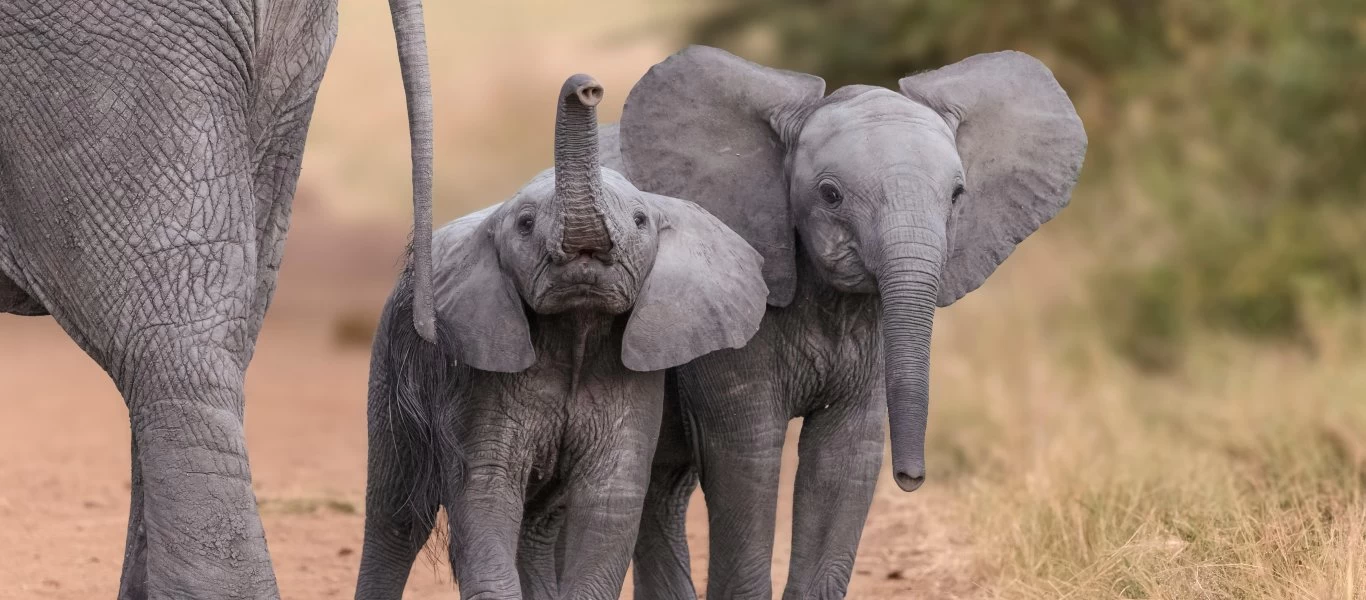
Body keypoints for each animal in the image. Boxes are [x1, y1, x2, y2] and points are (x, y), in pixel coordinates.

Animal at [352, 75, 770, 600]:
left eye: (640, 221)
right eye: (525, 224)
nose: (588, 88)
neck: (577, 326)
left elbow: (609, 503)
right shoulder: (482, 377)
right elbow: (486, 493)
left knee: (536, 526)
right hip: (392, 359)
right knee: (396, 517)